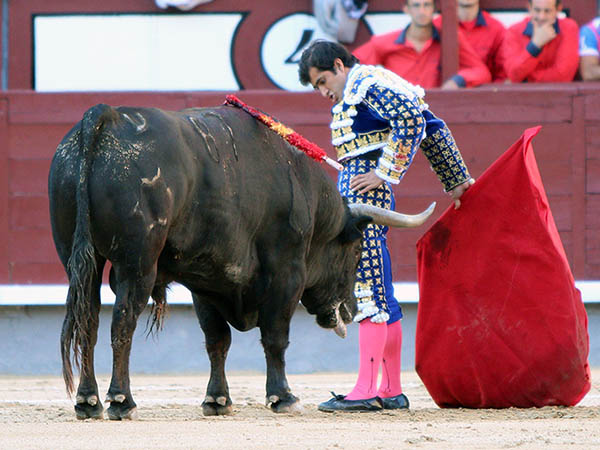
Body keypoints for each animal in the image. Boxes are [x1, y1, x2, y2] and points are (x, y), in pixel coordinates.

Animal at [47, 103, 432, 420]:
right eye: (355, 250)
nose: (351, 309)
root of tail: (107, 116)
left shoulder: (204, 280)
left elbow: (217, 340)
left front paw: (217, 400)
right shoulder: (286, 273)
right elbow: (275, 336)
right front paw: (283, 397)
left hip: (78, 260)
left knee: (88, 319)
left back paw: (88, 401)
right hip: (137, 263)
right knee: (122, 321)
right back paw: (121, 401)